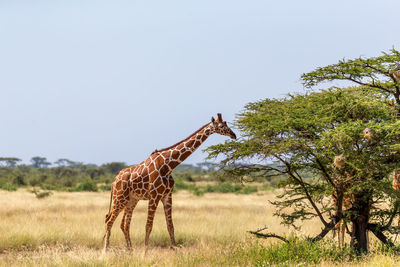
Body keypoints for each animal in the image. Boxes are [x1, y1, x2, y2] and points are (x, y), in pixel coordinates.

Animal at [103, 114, 236, 252]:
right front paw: (145, 252)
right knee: (109, 221)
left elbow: (170, 226)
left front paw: (176, 250)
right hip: (120, 198)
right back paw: (105, 251)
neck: (168, 165)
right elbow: (148, 225)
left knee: (124, 224)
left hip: (131, 200)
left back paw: (130, 250)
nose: (234, 135)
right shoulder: (154, 196)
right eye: (221, 126)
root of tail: (114, 181)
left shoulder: (167, 195)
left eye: (226, 123)